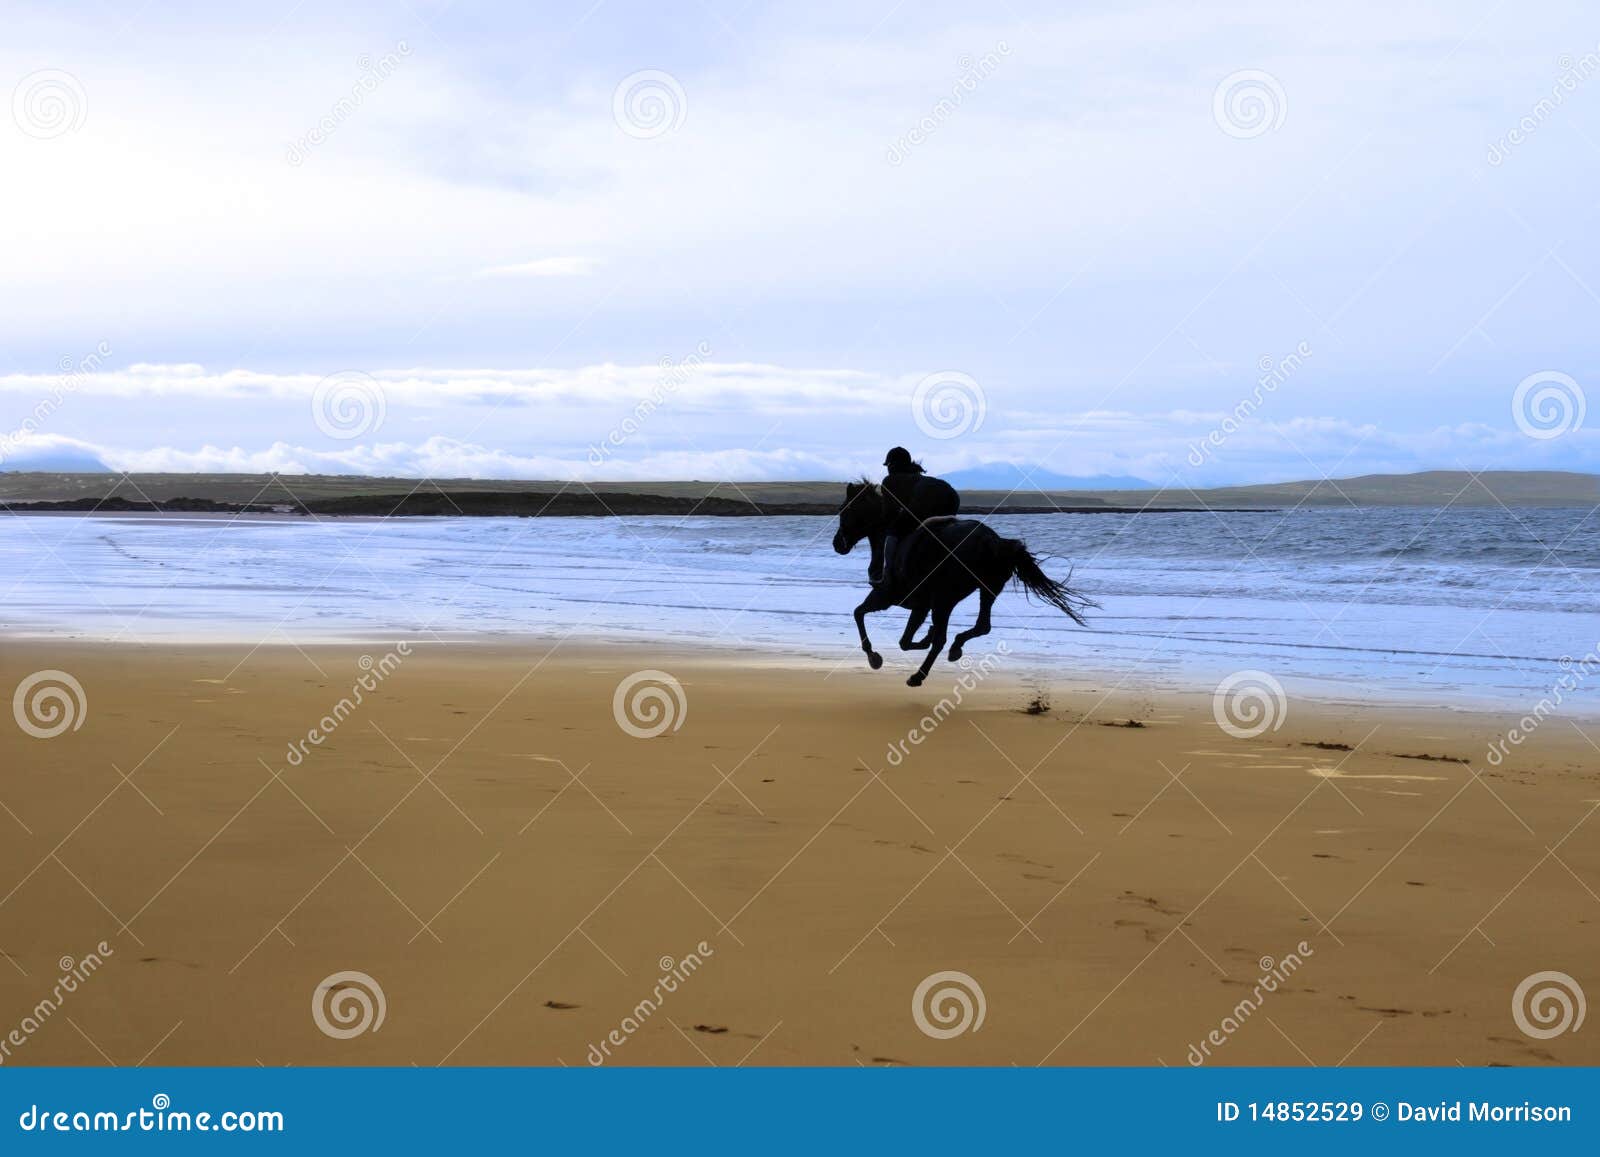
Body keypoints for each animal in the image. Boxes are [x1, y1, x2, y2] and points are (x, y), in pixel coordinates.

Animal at [831, 481, 1094, 686]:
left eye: (844, 510)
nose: (837, 544)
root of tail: (993, 541)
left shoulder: (887, 596)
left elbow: (861, 615)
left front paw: (874, 657)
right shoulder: (920, 606)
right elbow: (904, 639)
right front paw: (923, 637)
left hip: (945, 598)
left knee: (945, 638)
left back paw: (918, 676)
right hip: (985, 590)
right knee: (981, 626)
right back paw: (954, 648)